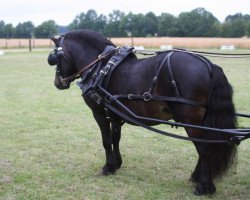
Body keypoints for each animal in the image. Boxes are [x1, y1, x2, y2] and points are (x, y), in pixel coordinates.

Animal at [47, 29, 237, 195]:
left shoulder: (99, 112)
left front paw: (107, 167)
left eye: (54, 58)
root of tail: (209, 65)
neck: (101, 67)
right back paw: (196, 177)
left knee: (204, 148)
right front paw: (116, 164)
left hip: (190, 120)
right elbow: (116, 138)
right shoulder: (115, 113)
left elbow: (106, 140)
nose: (57, 83)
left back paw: (204, 186)